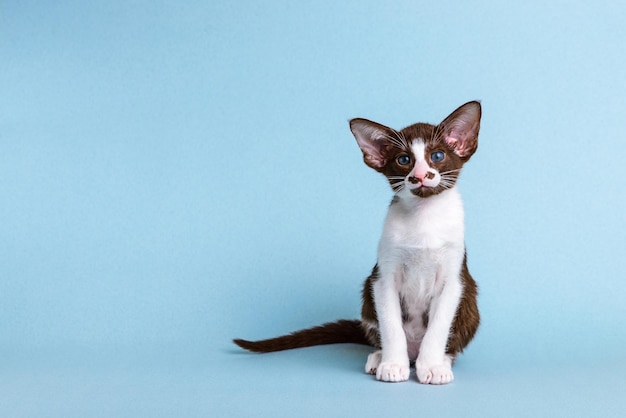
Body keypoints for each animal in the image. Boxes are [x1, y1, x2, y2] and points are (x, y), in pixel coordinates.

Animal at [232, 100, 480, 386]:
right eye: (404, 160)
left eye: (437, 156)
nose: (419, 176)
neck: (423, 217)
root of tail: (413, 352)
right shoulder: (382, 279)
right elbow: (391, 325)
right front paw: (392, 365)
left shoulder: (453, 280)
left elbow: (438, 327)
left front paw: (432, 367)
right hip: (368, 298)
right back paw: (381, 358)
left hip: (470, 304)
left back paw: (441, 361)